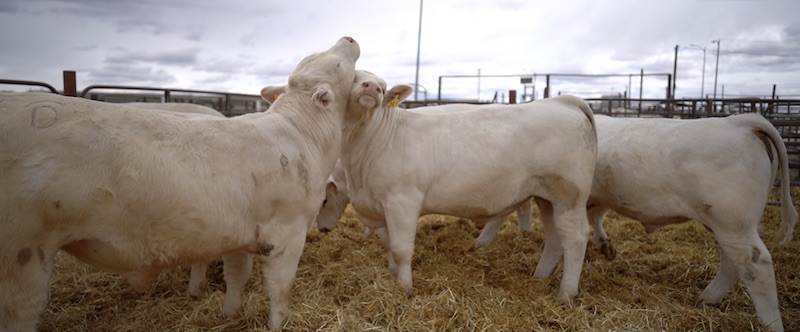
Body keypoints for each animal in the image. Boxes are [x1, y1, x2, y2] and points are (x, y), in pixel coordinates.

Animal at [0, 35, 360, 330]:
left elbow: (236, 275)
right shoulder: (287, 232)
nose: (349, 37)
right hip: (20, 254)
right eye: (338, 64)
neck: (303, 135)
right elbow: (279, 288)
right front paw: (277, 324)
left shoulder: (240, 233)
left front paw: (230, 314)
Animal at [340, 70, 596, 300]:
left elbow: (400, 250)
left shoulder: (402, 201)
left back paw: (566, 294)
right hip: (546, 198)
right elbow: (388, 245)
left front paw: (405, 289)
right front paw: (393, 277)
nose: (372, 88)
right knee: (555, 237)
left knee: (575, 238)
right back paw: (539, 277)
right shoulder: (378, 204)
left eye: (383, 87)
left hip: (569, 196)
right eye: (355, 76)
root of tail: (561, 101)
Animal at [478, 113, 796, 330]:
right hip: (728, 225)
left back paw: (769, 323)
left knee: (756, 265)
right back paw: (707, 298)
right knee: (733, 263)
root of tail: (741, 121)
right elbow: (595, 217)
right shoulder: (597, 196)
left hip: (732, 221)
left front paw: (482, 241)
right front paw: (605, 246)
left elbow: (501, 213)